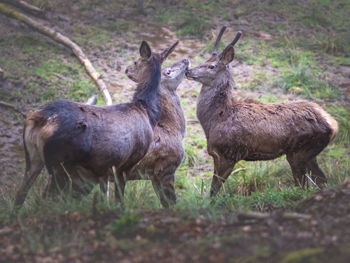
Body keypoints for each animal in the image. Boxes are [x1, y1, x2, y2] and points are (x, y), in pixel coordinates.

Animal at [13, 40, 178, 208]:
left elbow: (105, 197)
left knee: (21, 193)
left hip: (34, 158)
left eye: (135, 62)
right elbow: (119, 199)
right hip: (59, 163)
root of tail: (38, 118)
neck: (147, 112)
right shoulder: (126, 163)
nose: (126, 69)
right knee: (45, 198)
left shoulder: (105, 168)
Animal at [122, 57, 189, 208]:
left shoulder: (154, 176)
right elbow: (171, 204)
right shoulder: (166, 169)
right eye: (168, 71)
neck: (172, 128)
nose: (185, 59)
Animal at [186, 26, 340, 199]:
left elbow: (213, 191)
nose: (188, 71)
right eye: (204, 60)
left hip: (299, 151)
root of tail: (334, 125)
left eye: (211, 66)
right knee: (321, 180)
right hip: (310, 153)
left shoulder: (228, 154)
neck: (216, 119)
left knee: (304, 185)